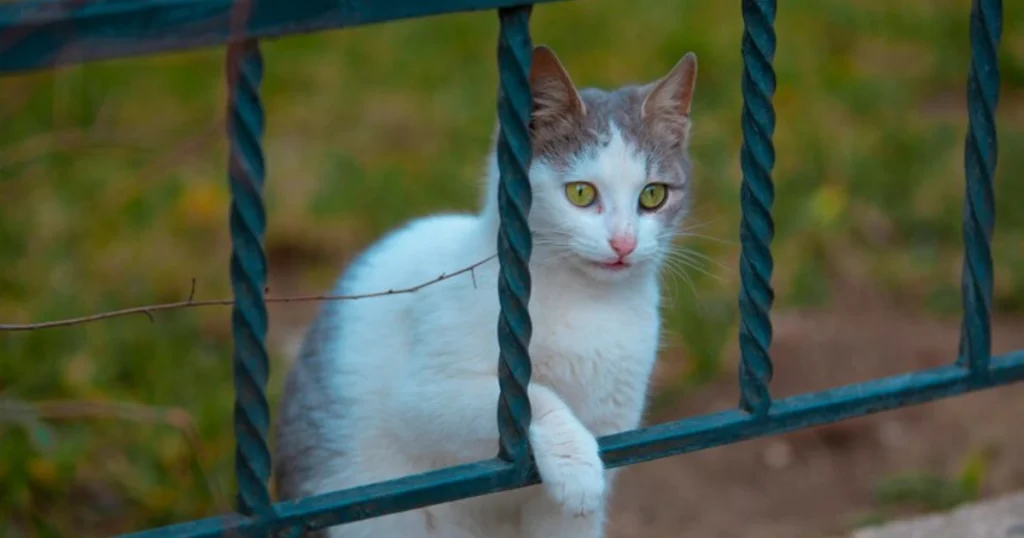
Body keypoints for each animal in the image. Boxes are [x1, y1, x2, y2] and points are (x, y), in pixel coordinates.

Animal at [274, 43, 696, 536]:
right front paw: (574, 462)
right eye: (580, 193)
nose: (624, 243)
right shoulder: (425, 394)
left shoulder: (614, 426)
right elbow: (530, 397)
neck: (589, 304)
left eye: (652, 195)